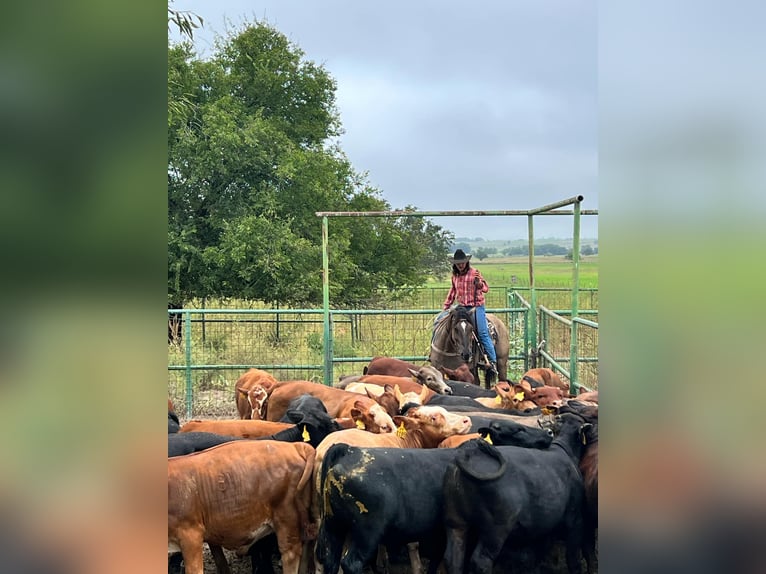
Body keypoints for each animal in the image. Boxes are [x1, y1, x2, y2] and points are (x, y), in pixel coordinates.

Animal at [444, 414, 592, 574]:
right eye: (518, 430)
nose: (548, 432)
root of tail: (467, 454)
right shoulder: (575, 519)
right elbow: (573, 558)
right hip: (495, 529)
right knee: (481, 561)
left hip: (456, 523)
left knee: (453, 559)